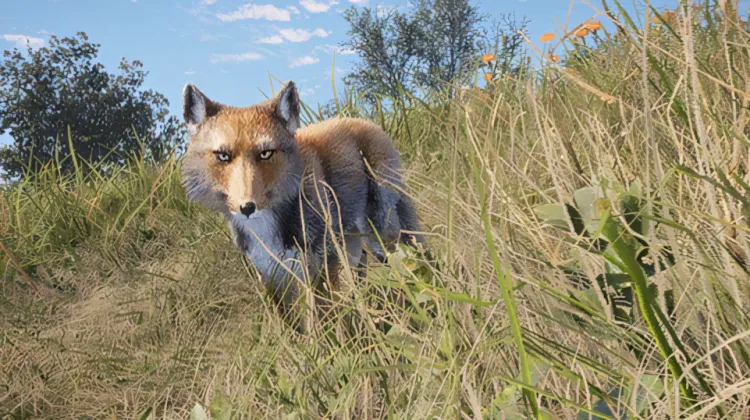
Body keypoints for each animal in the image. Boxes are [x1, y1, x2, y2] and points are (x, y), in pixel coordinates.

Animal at [180, 81, 423, 310]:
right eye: (222, 156)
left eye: (266, 153)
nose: (247, 207)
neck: (266, 232)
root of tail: (363, 121)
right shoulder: (271, 275)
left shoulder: (319, 266)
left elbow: (325, 319)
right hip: (355, 245)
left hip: (382, 235)